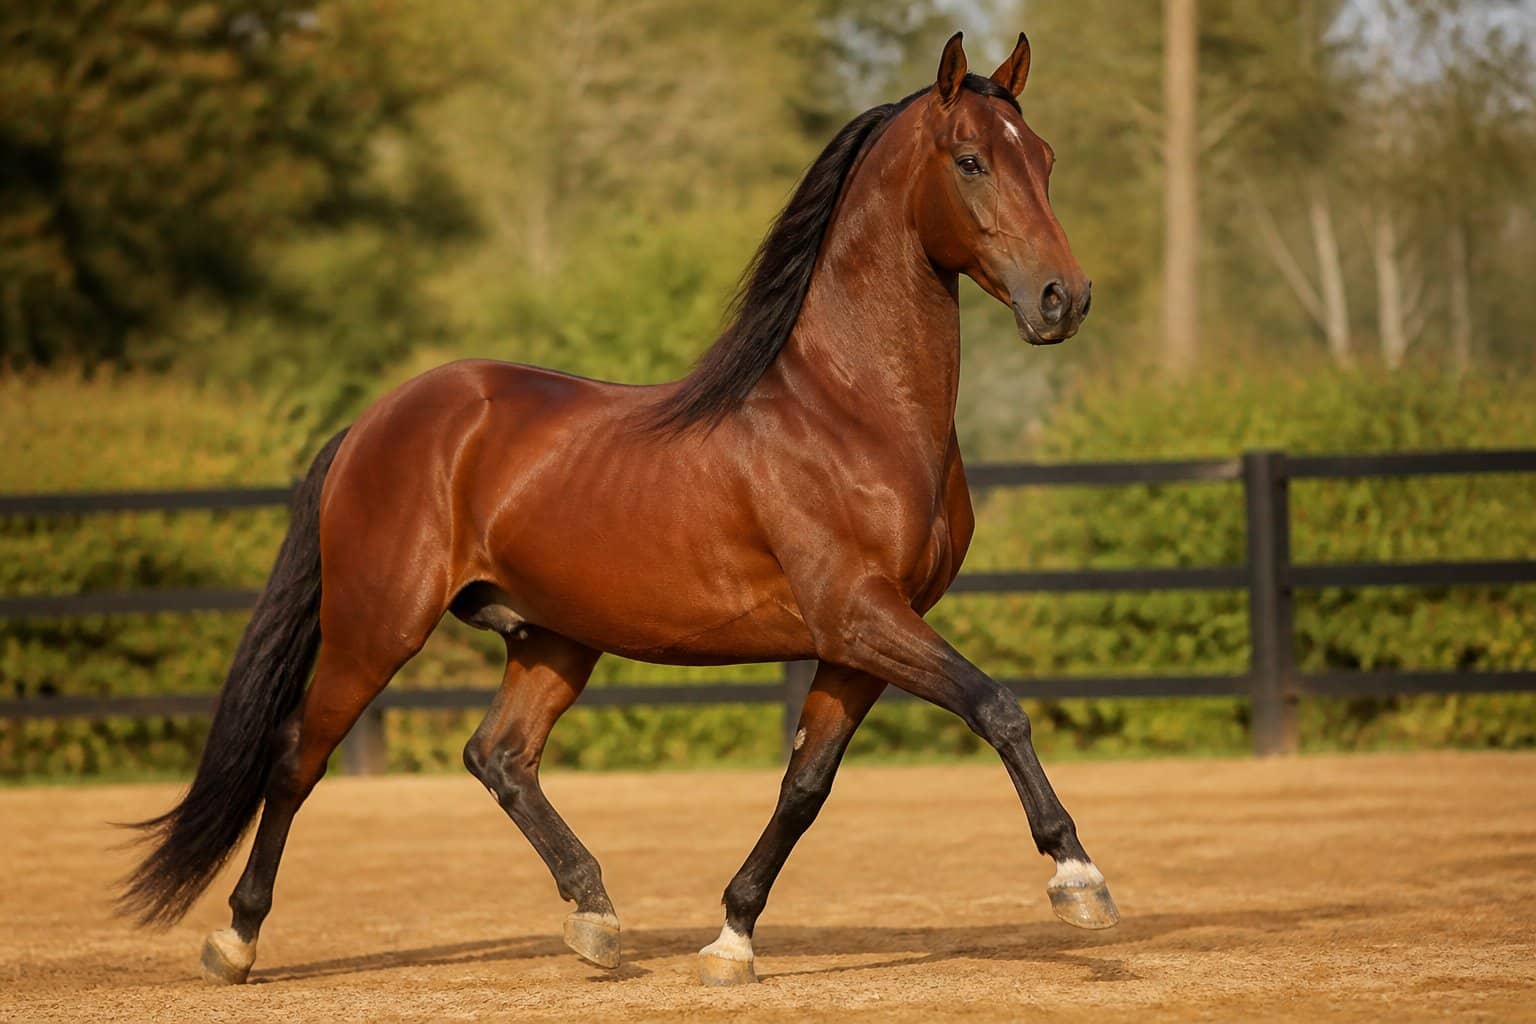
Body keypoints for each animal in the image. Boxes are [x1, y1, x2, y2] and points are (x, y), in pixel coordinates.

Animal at [119, 31, 1117, 988]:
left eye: (1047, 157)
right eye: (971, 159)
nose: (1063, 299)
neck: (850, 409)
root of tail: (375, 421)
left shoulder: (858, 642)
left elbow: (805, 786)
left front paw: (731, 939)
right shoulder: (860, 614)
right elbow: (997, 706)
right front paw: (1079, 880)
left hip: (554, 638)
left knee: (499, 756)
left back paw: (595, 919)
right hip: (376, 629)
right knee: (300, 756)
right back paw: (236, 940)